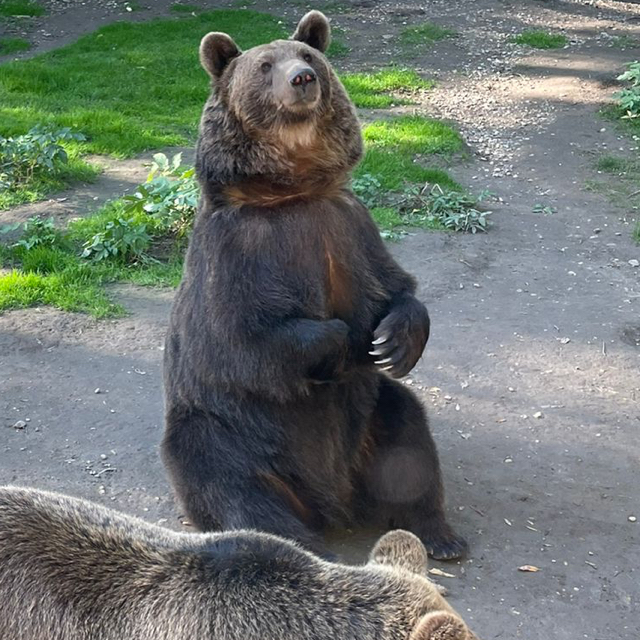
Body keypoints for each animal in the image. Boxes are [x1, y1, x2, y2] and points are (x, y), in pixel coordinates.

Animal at [161, 10, 467, 560]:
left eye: (307, 56)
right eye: (265, 65)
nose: (302, 79)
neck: (291, 190)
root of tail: (333, 503)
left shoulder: (347, 226)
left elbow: (397, 286)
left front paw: (393, 340)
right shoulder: (237, 253)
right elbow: (243, 338)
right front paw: (340, 339)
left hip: (369, 419)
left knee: (408, 436)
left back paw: (439, 533)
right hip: (229, 430)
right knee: (226, 481)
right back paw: (299, 545)